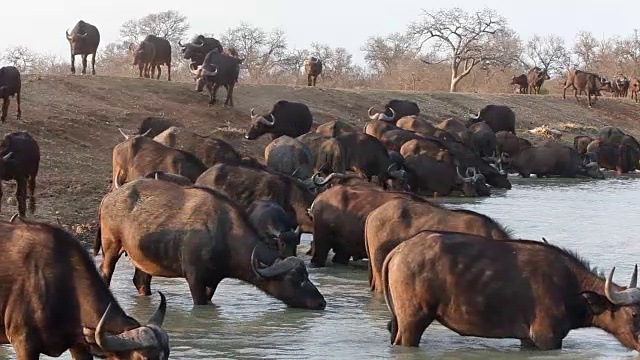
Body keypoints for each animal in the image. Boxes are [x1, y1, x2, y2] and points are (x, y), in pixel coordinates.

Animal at [382, 231, 640, 352]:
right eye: (634, 314)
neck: (570, 288)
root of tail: (399, 250)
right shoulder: (547, 338)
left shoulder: (527, 339)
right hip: (412, 322)